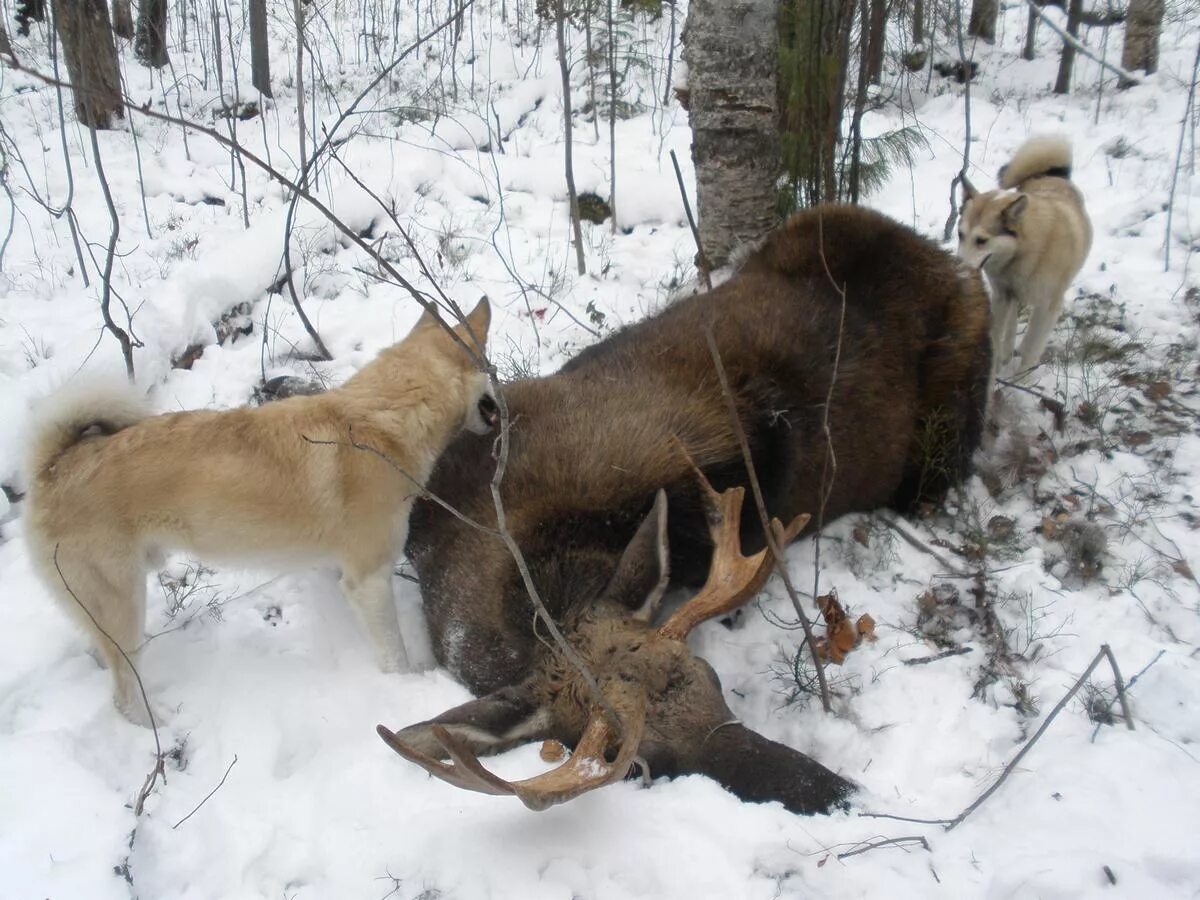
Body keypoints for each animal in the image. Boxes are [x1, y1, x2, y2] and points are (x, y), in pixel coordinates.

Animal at [24, 301, 492, 724]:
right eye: (489, 369)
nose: (499, 407)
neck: (382, 418)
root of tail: (53, 468)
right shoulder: (370, 580)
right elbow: (394, 656)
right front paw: (406, 686)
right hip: (123, 601)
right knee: (123, 696)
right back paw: (156, 723)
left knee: (102, 653)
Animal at [960, 135, 1094, 381]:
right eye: (960, 235)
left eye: (981, 240)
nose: (959, 271)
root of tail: (1055, 173)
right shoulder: (1002, 295)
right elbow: (998, 334)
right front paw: (995, 367)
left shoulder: (1047, 307)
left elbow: (1032, 345)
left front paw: (1022, 379)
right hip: (1010, 297)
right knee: (1012, 323)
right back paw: (1006, 352)